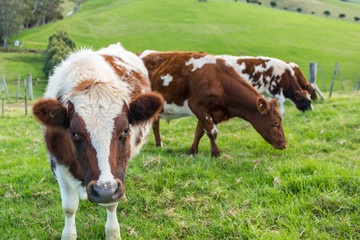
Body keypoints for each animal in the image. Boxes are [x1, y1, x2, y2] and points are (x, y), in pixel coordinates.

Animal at [31, 43, 164, 240]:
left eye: (125, 130)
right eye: (74, 134)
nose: (104, 190)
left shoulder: (116, 178)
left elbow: (112, 204)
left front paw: (113, 233)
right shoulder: (57, 164)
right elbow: (69, 207)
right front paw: (69, 234)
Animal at [139, 50, 286, 158]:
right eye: (276, 122)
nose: (284, 145)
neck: (218, 81)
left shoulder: (212, 112)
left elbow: (200, 132)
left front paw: (193, 151)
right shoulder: (197, 106)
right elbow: (212, 131)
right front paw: (215, 153)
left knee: (155, 125)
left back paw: (159, 144)